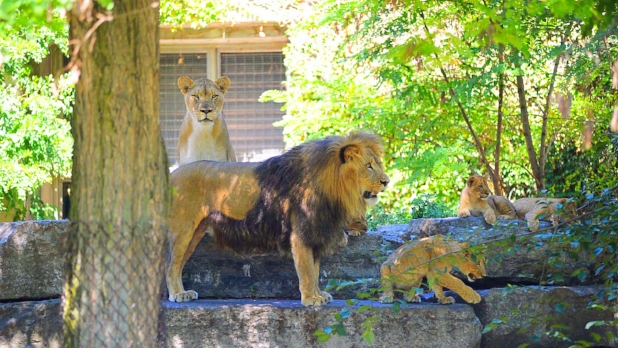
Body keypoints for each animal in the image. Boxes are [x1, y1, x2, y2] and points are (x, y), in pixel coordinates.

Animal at [166, 132, 388, 306]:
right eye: (368, 166)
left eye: (377, 164)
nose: (387, 181)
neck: (332, 188)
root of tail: (172, 175)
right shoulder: (302, 233)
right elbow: (307, 270)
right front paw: (311, 299)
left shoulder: (315, 231)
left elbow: (315, 269)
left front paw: (318, 294)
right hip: (183, 230)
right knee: (171, 266)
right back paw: (177, 294)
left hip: (195, 232)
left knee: (179, 265)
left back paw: (183, 292)